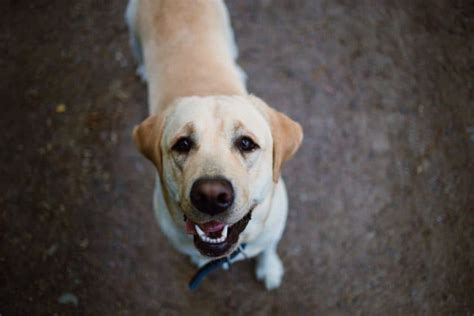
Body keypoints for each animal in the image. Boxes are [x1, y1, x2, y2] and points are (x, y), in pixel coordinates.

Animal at [126, 0, 302, 290]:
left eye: (246, 143)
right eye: (182, 144)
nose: (210, 196)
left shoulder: (273, 228)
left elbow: (268, 247)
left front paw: (270, 268)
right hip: (132, 26)